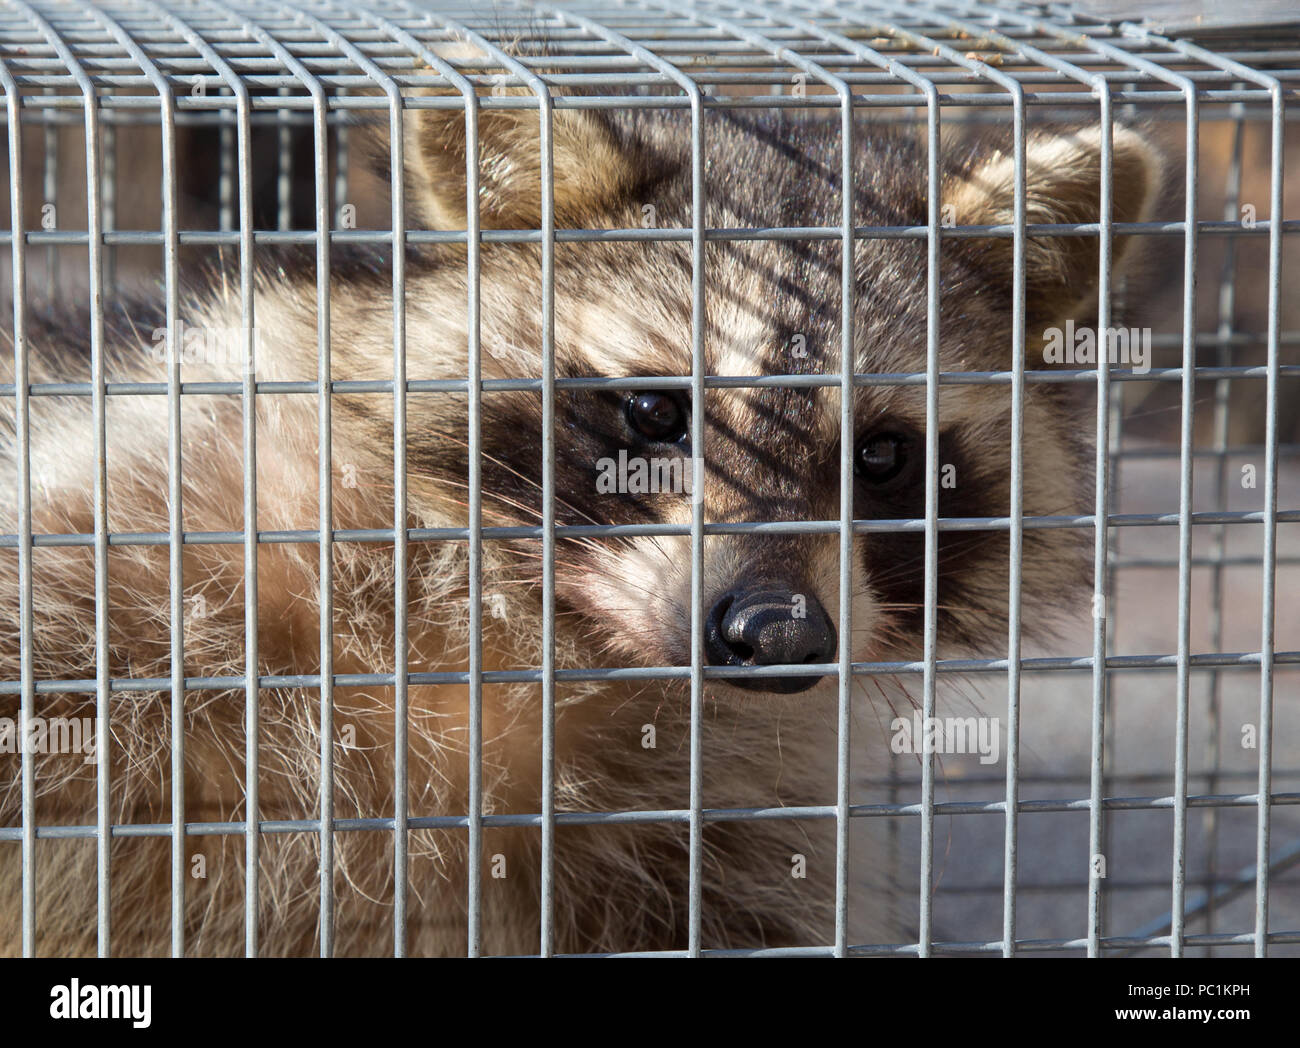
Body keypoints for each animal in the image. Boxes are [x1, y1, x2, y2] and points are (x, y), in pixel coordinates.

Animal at [0, 89, 1161, 955]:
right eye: (654, 412)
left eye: (884, 456)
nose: (777, 634)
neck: (546, 634)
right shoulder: (188, 509)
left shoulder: (735, 813)